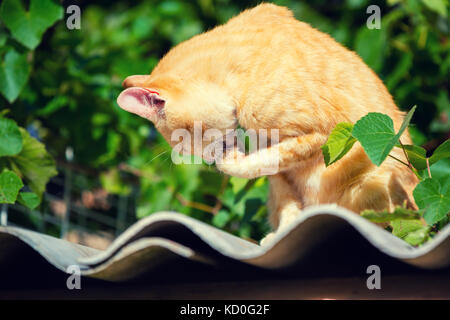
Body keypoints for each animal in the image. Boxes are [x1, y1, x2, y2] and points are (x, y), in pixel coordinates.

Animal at [117, 2, 418, 244]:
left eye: (183, 142)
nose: (207, 160)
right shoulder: (280, 172)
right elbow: (284, 195)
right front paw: (284, 231)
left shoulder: (327, 134)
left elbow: (253, 164)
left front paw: (228, 162)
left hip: (380, 182)